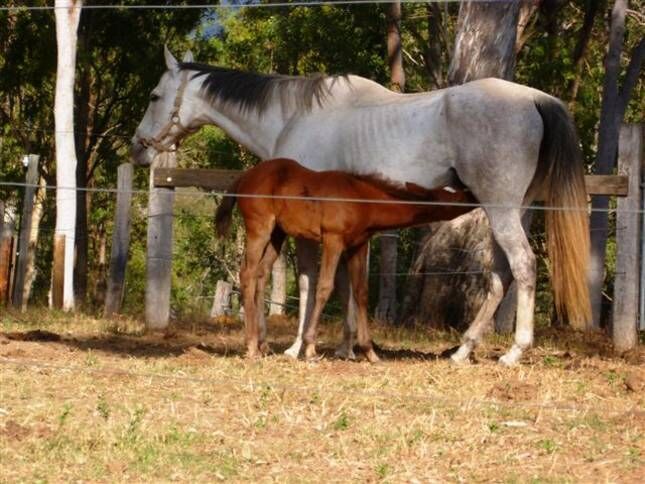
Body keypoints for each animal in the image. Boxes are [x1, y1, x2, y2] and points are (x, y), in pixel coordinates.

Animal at [215, 158, 472, 360]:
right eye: (451, 196)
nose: (473, 194)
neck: (362, 199)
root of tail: (242, 178)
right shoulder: (333, 239)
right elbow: (324, 287)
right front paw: (310, 348)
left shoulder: (357, 245)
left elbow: (360, 292)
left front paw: (370, 352)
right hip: (259, 227)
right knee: (247, 273)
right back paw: (251, 346)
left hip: (277, 234)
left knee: (260, 274)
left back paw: (263, 344)